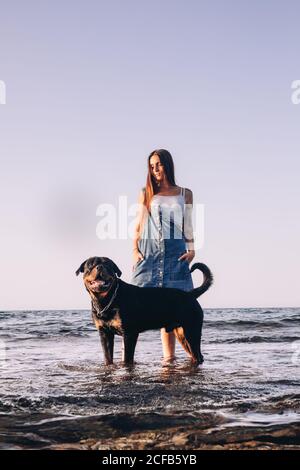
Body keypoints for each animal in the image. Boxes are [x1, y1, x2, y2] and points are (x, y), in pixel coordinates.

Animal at [76, 258, 214, 366]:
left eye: (108, 265)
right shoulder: (104, 334)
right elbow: (108, 357)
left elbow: (127, 359)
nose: (100, 267)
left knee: (197, 355)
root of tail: (190, 294)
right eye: (90, 265)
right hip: (182, 334)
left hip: (191, 332)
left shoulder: (129, 334)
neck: (106, 300)